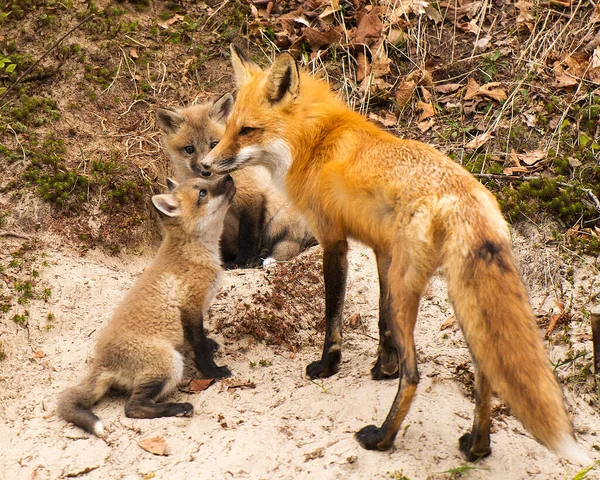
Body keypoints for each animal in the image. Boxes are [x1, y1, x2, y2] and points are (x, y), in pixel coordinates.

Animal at [199, 46, 592, 464]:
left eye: (247, 130)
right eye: (228, 129)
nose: (205, 166)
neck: (316, 141)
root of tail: (466, 195)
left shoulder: (333, 240)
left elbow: (333, 315)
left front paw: (329, 365)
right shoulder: (381, 251)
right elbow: (381, 321)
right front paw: (383, 366)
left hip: (412, 292)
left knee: (415, 375)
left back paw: (382, 437)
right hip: (459, 298)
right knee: (485, 371)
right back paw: (477, 445)